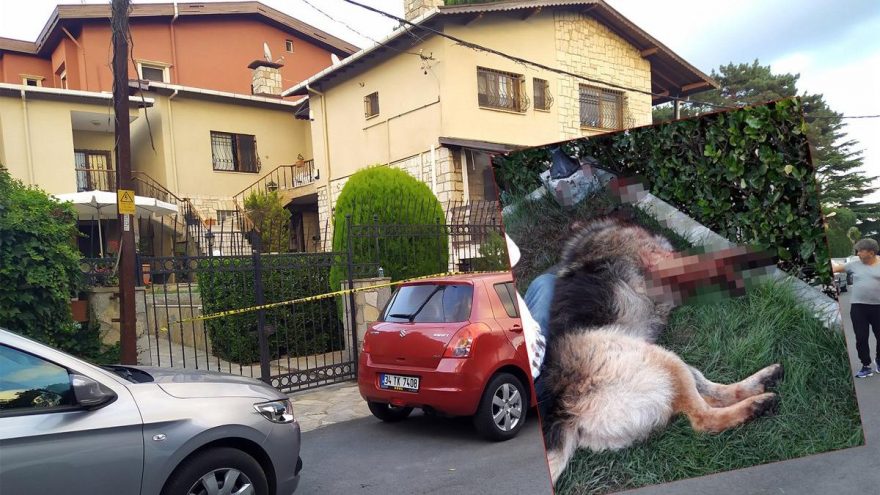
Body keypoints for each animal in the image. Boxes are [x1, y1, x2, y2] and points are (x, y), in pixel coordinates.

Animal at [544, 220, 784, 484]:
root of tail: (565, 411)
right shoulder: (663, 262)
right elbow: (705, 259)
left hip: (666, 365)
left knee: (714, 394)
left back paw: (763, 381)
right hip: (662, 361)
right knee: (703, 418)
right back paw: (757, 404)